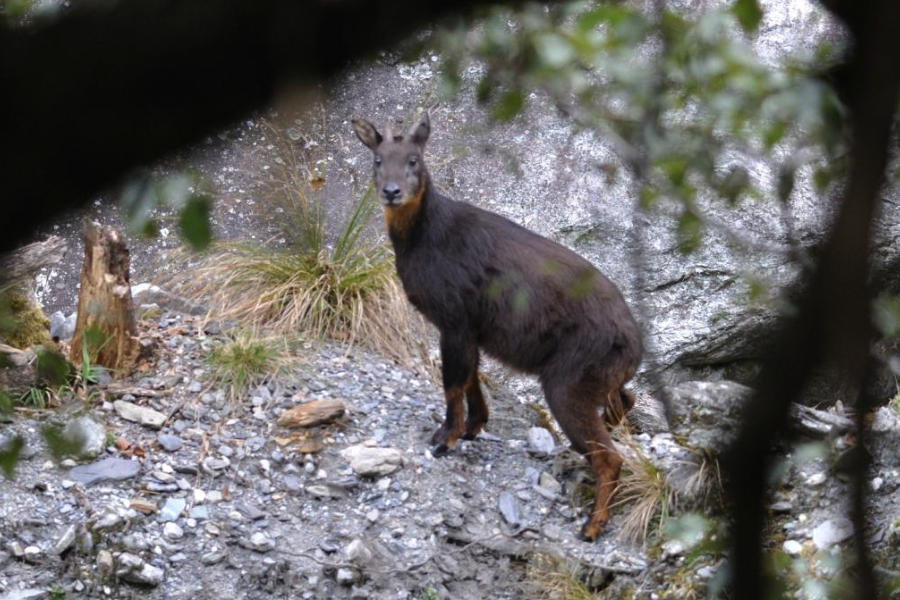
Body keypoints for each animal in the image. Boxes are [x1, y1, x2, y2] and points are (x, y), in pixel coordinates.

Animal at [352, 112, 640, 540]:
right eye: (376, 159)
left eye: (414, 160)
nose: (391, 191)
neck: (426, 238)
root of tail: (635, 346)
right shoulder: (471, 328)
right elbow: (472, 377)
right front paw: (473, 427)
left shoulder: (455, 317)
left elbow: (452, 381)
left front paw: (445, 439)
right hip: (598, 382)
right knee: (625, 404)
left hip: (566, 382)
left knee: (610, 456)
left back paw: (591, 526)